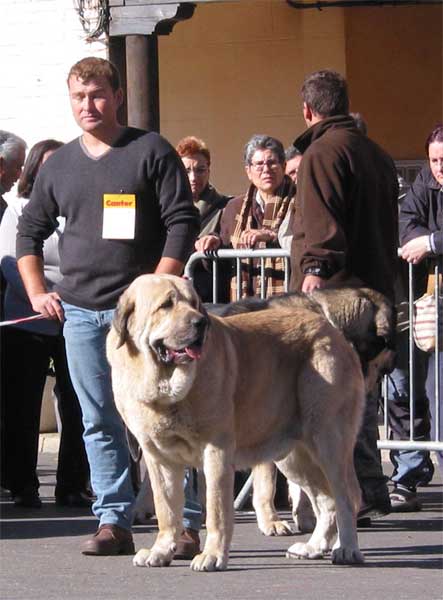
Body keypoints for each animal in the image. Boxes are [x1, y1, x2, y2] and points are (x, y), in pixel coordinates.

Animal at [108, 274, 368, 568]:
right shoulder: (159, 458)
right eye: (166, 305)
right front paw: (161, 551)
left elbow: (216, 509)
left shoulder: (216, 451)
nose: (201, 322)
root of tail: (334, 332)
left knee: (346, 496)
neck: (164, 386)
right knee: (326, 500)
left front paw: (212, 555)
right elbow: (166, 509)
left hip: (328, 441)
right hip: (294, 456)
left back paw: (346, 549)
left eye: (194, 303)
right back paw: (313, 547)